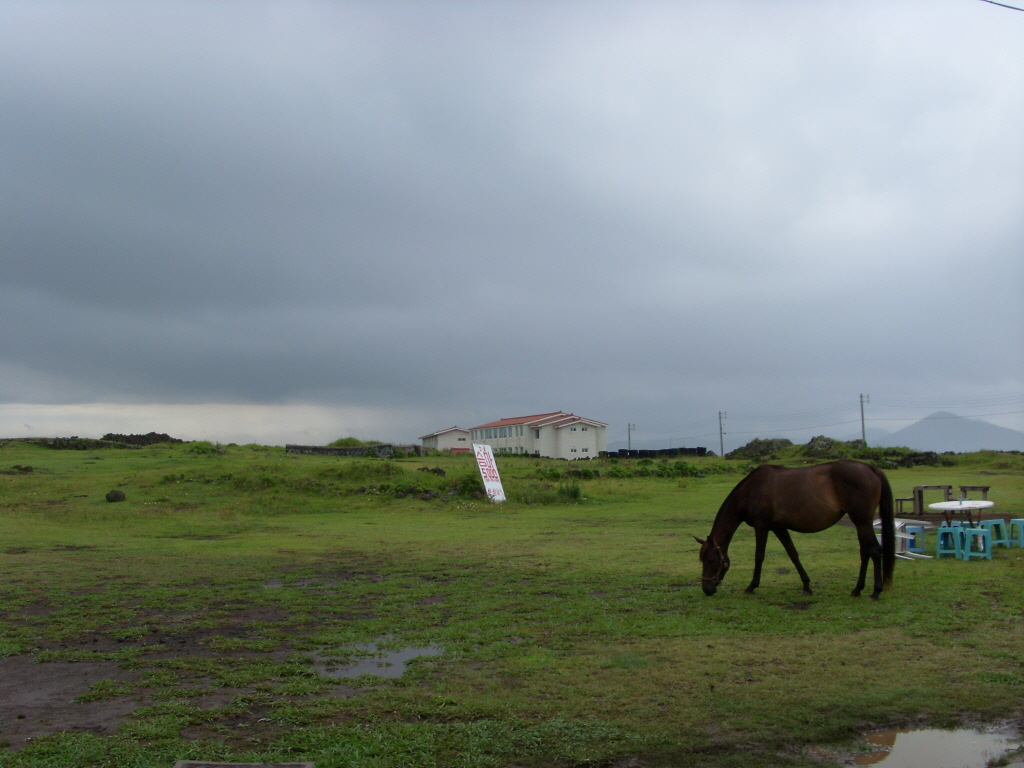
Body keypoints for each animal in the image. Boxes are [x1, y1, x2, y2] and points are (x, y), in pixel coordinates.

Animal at [696, 460, 897, 598]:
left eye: (711, 560)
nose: (707, 589)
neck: (751, 490)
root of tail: (870, 468)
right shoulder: (778, 527)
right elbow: (793, 554)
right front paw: (806, 585)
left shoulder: (762, 526)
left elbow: (759, 556)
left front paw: (752, 586)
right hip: (860, 524)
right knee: (865, 552)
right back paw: (857, 589)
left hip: (862, 522)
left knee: (875, 551)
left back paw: (876, 592)